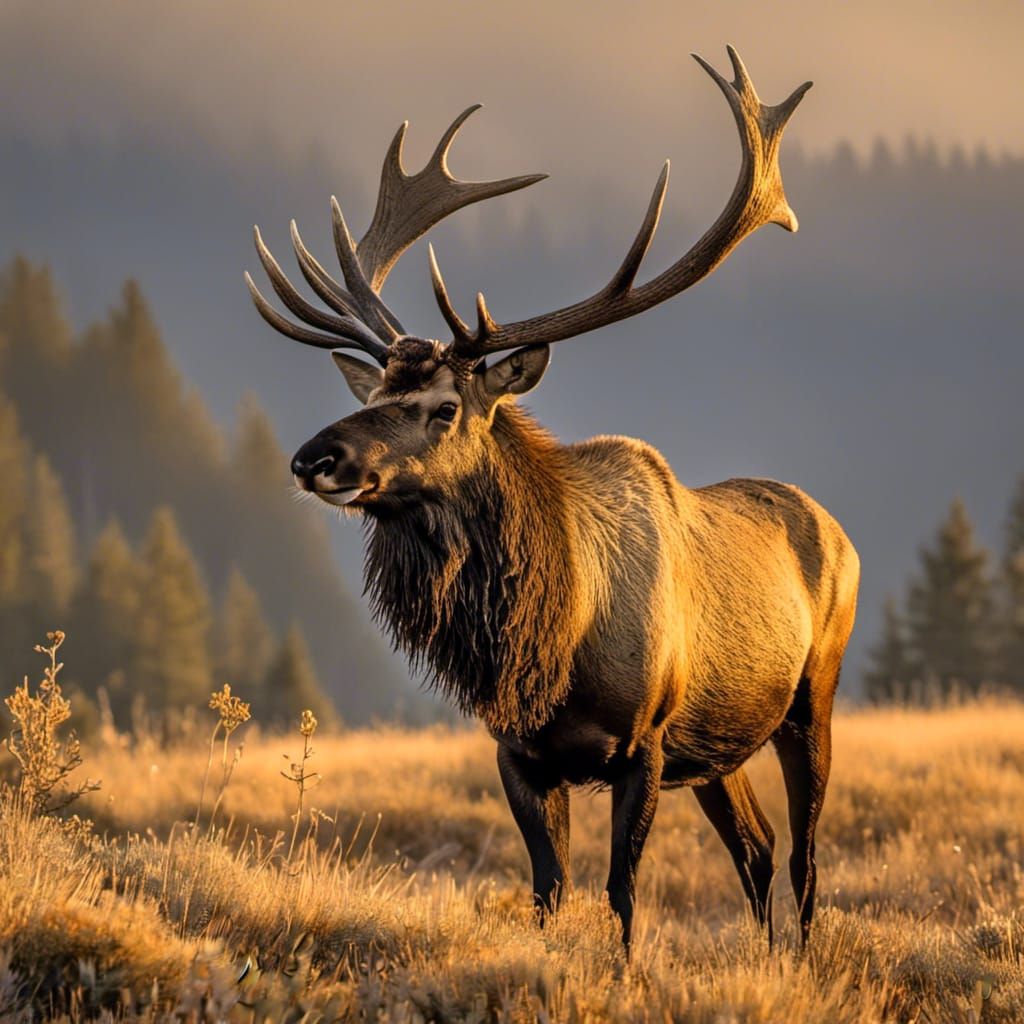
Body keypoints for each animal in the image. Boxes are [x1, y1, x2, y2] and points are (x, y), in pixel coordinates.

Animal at [245, 47, 860, 952]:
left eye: (444, 407)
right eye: (375, 392)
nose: (314, 457)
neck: (557, 638)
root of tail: (840, 531)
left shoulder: (646, 743)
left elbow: (622, 893)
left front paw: (624, 968)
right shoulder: (519, 752)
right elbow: (548, 890)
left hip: (812, 694)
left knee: (806, 857)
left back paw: (805, 961)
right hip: (718, 747)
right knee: (757, 847)